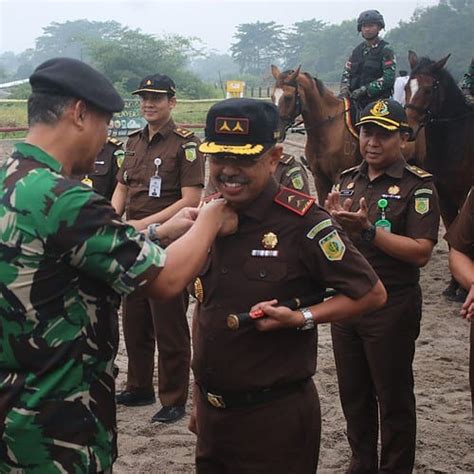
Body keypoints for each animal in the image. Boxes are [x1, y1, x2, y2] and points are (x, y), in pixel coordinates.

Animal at [272, 64, 424, 202]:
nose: (276, 133)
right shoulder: (320, 178)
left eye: (288, 97)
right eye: (273, 96)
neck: (327, 129)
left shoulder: (339, 176)